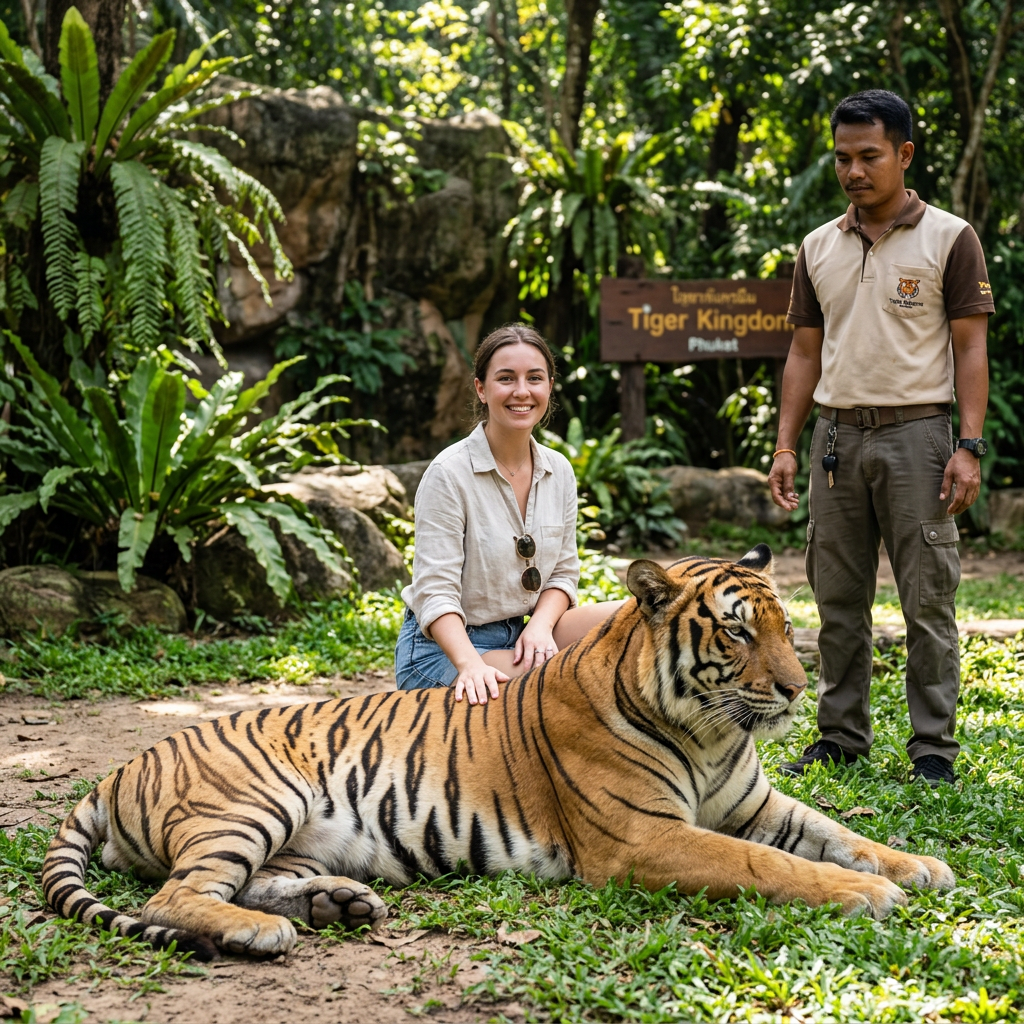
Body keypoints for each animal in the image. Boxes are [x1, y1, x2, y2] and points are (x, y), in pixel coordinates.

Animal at [42, 544, 954, 960]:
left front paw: (920, 866)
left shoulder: (757, 804)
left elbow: (839, 833)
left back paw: (339, 905)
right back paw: (264, 934)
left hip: (298, 838)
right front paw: (864, 894)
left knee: (250, 882)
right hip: (254, 802)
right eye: (735, 632)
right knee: (178, 895)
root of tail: (119, 767)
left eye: (781, 625)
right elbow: (771, 865)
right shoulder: (644, 839)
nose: (798, 689)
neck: (709, 731)